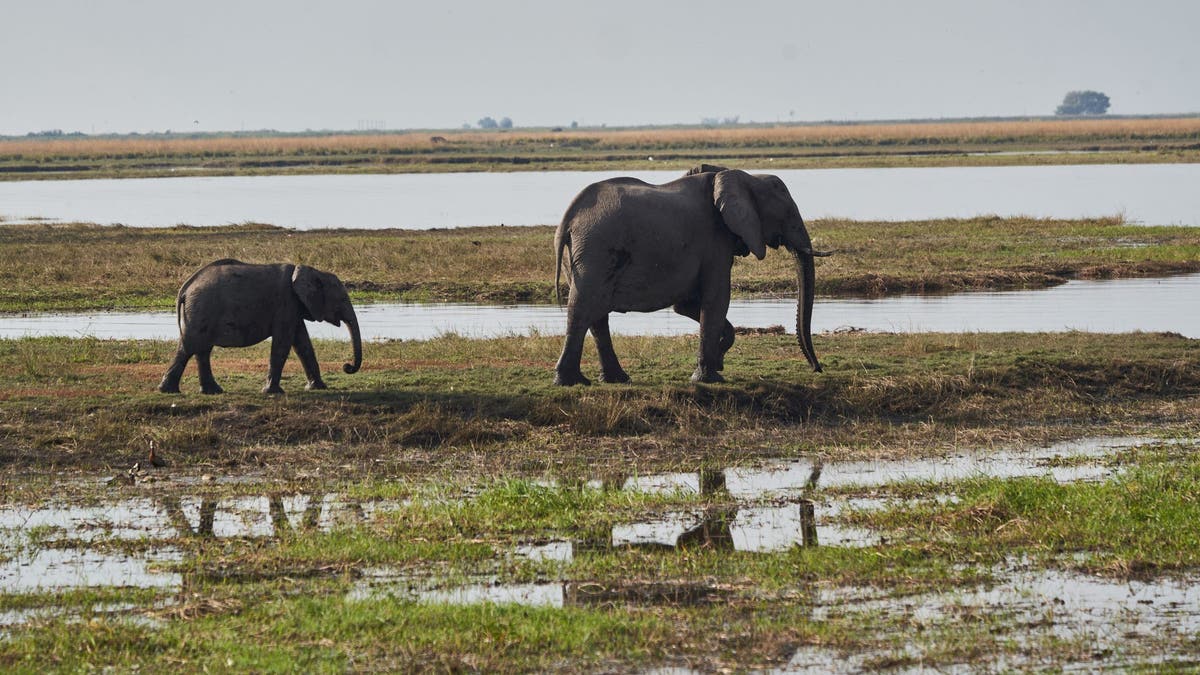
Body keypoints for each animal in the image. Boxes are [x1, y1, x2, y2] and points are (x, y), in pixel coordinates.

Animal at [549, 164, 825, 384]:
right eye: (788, 214)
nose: (817, 369)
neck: (742, 176)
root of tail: (568, 218)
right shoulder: (714, 240)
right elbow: (716, 299)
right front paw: (710, 377)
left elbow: (687, 306)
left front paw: (717, 361)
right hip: (596, 249)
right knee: (584, 308)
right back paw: (571, 382)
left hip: (581, 254)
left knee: (596, 314)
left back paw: (615, 379)